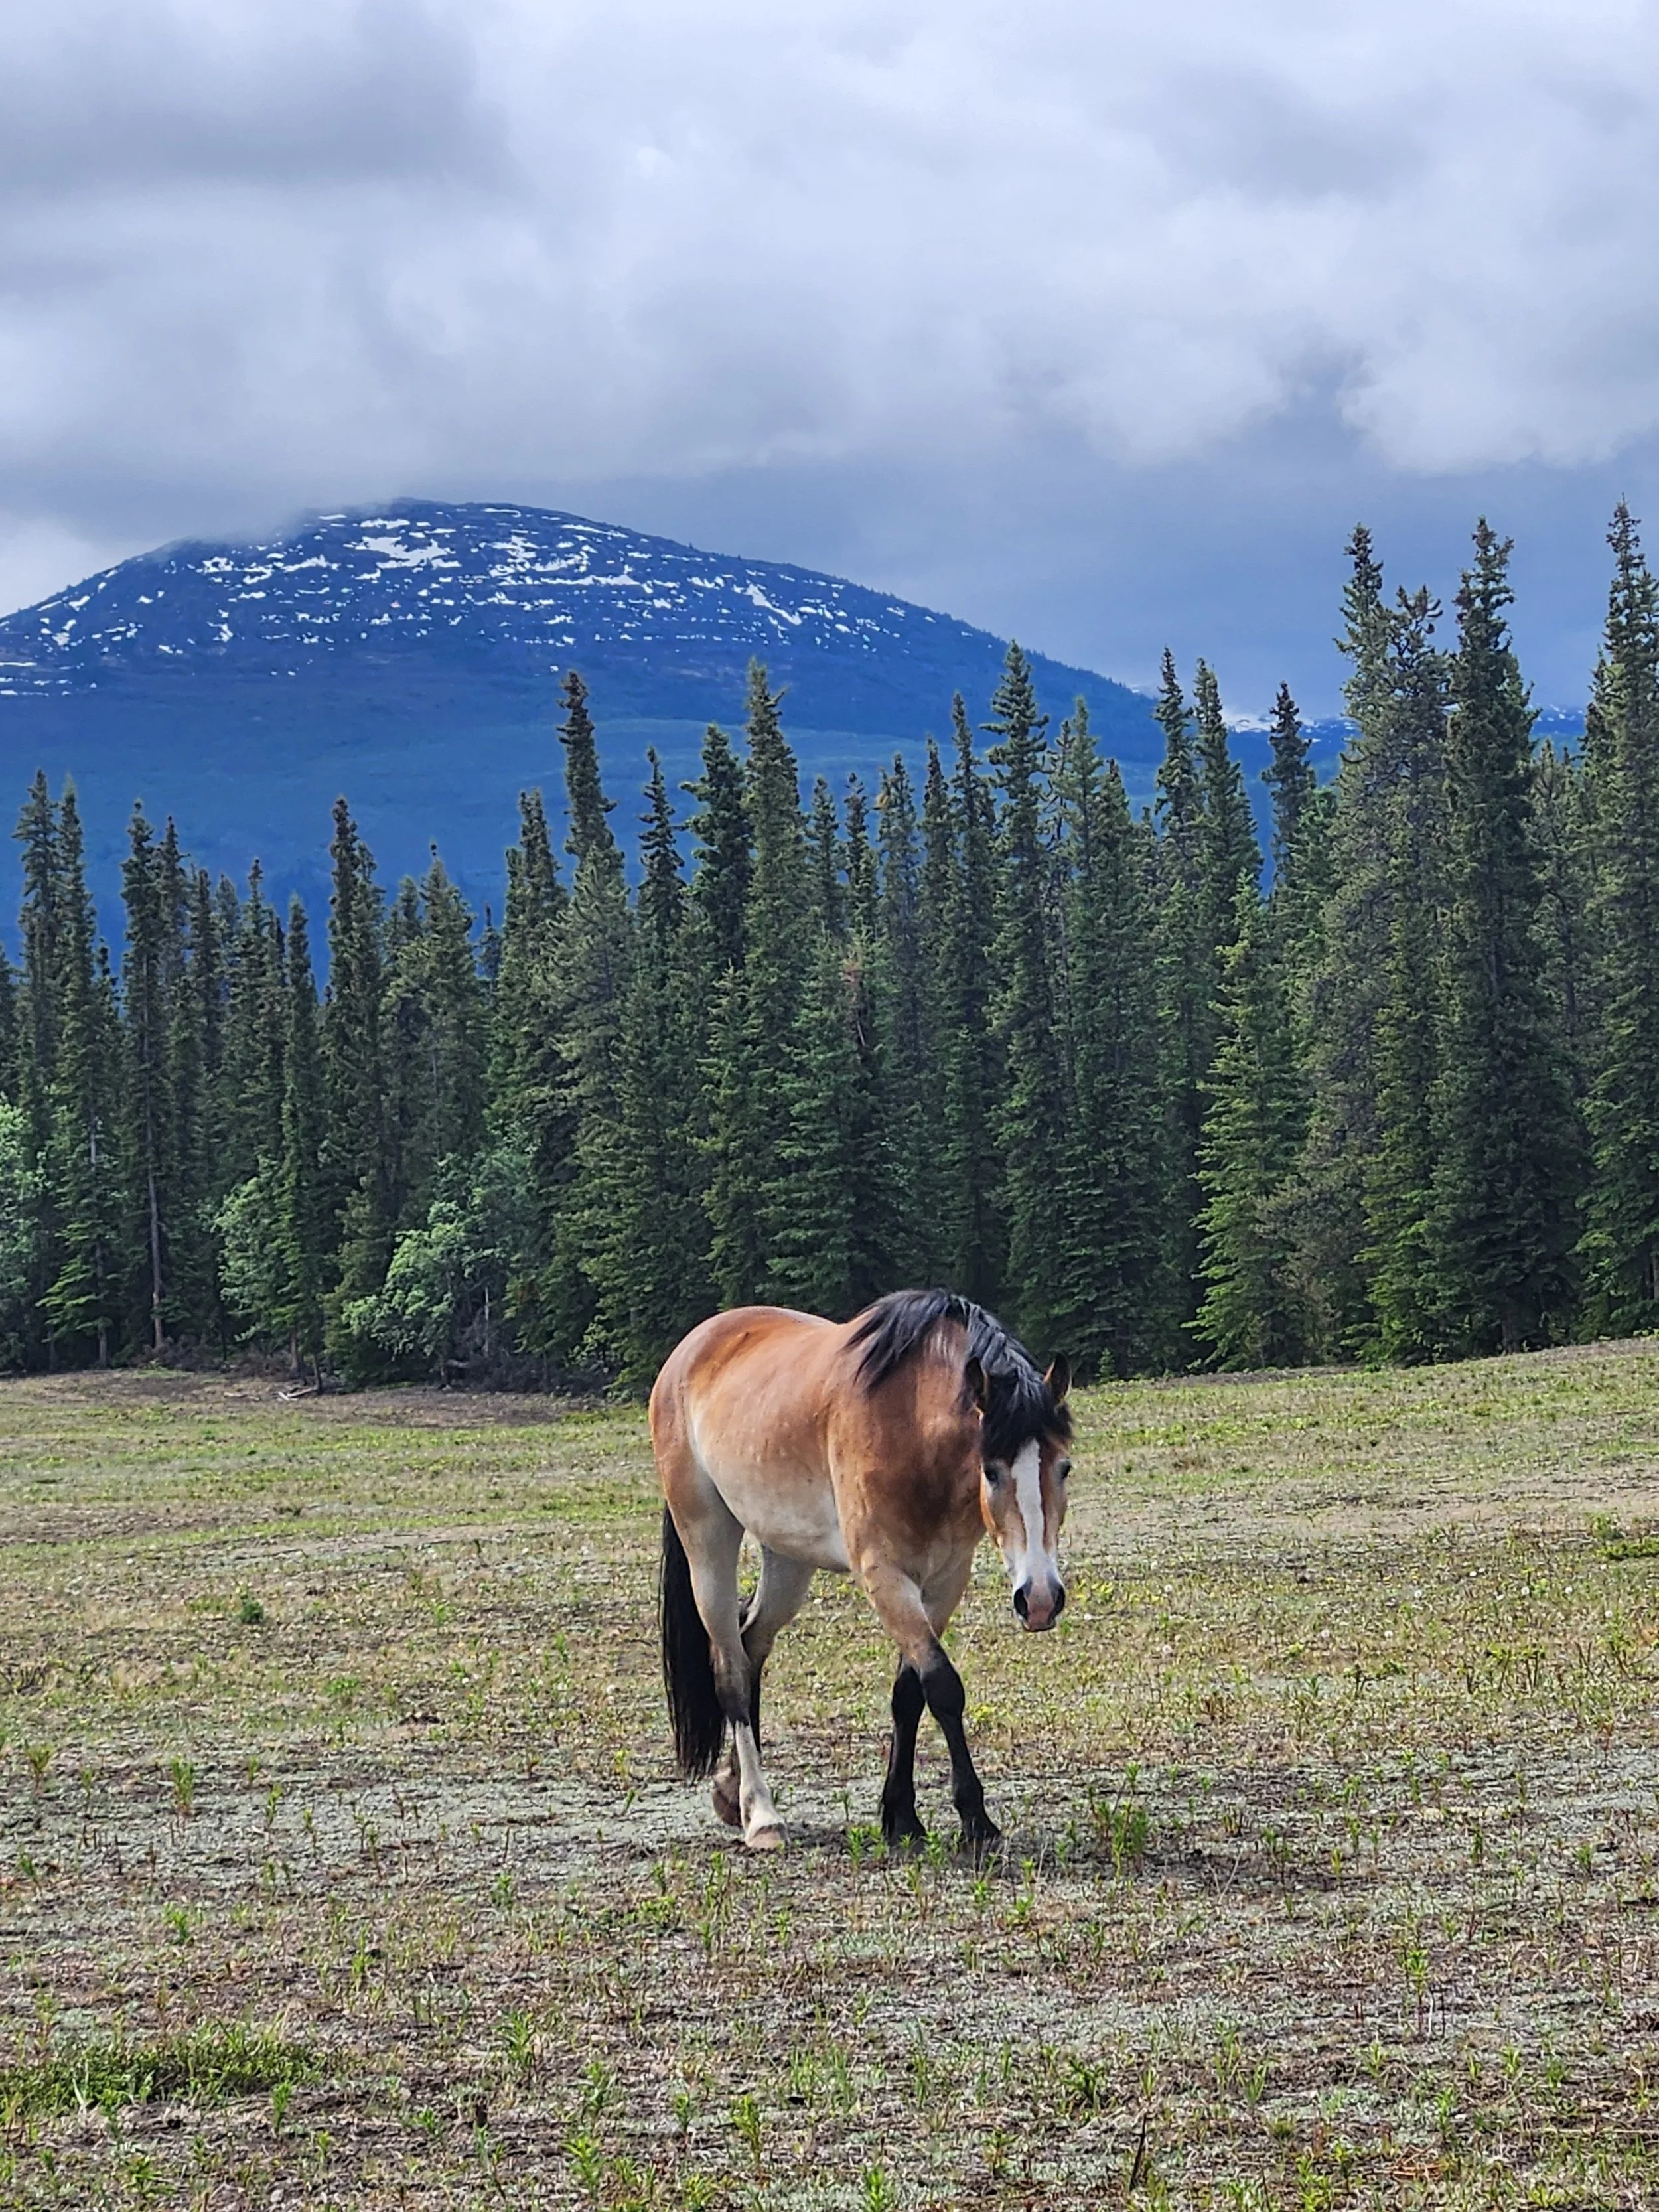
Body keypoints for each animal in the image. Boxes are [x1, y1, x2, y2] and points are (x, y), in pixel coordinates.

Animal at [649, 1287, 1072, 1852]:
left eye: (1063, 1466)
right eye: (991, 1470)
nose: (1041, 1599)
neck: (909, 1425)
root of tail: (689, 1351)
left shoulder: (944, 1581)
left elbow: (909, 1693)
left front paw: (901, 1816)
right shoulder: (883, 1574)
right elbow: (942, 1686)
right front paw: (975, 1818)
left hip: (787, 1557)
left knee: (751, 1641)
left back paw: (731, 1792)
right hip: (708, 1541)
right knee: (731, 1669)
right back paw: (762, 1815)